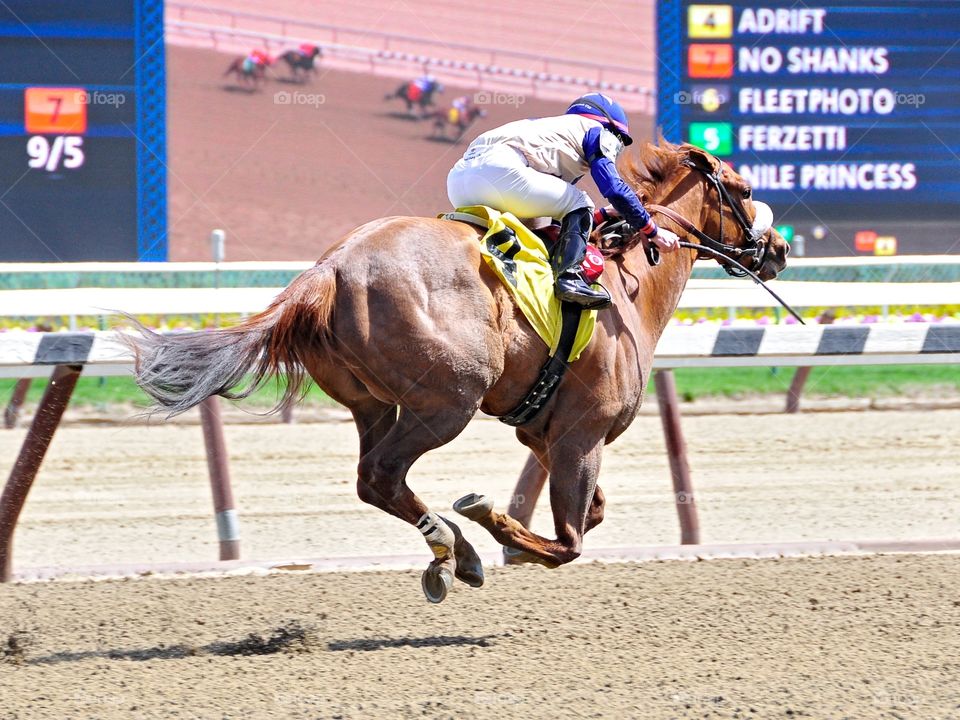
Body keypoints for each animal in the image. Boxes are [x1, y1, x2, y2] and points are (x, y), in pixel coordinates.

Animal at [125, 139, 788, 600]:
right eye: (743, 186)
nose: (778, 248)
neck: (628, 283)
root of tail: (327, 270)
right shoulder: (581, 432)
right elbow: (568, 542)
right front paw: (492, 519)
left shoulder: (544, 431)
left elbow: (591, 513)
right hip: (447, 402)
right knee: (383, 474)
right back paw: (458, 542)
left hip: (374, 403)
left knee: (375, 479)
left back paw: (450, 553)